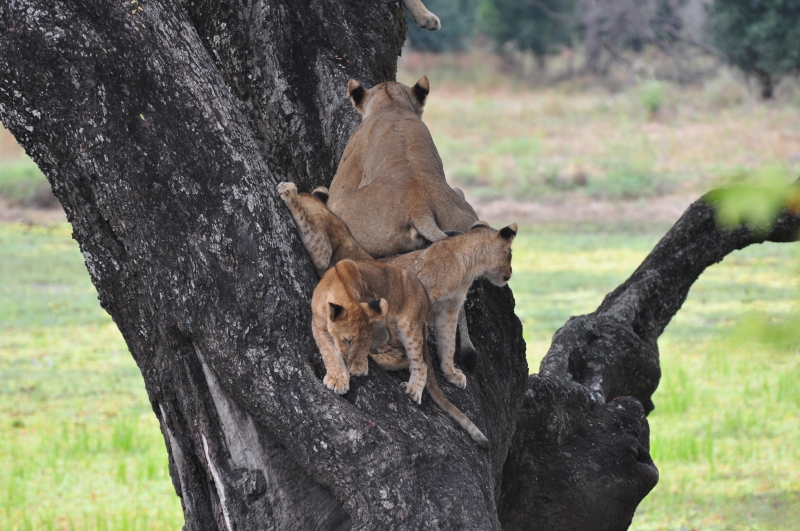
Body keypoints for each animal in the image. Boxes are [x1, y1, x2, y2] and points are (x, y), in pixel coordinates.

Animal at [311, 259, 490, 448]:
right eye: (348, 340)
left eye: (360, 340)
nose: (349, 359)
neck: (341, 287)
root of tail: (423, 292)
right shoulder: (318, 324)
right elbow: (329, 352)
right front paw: (338, 378)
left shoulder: (372, 320)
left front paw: (357, 364)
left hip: (407, 326)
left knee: (418, 363)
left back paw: (413, 389)